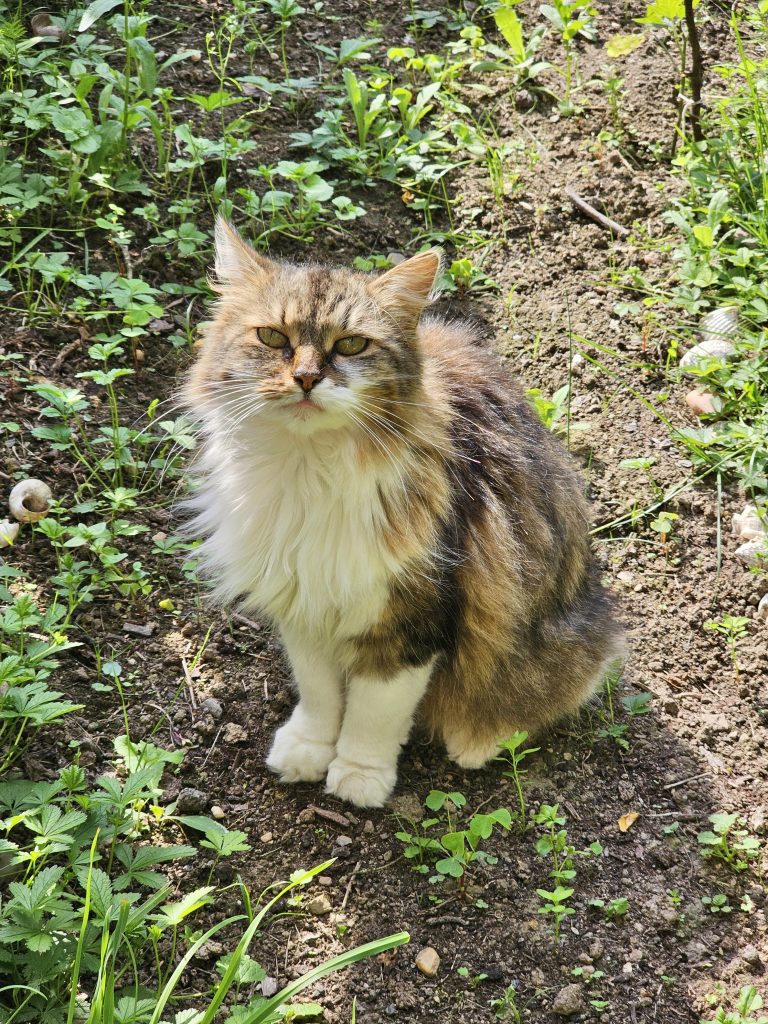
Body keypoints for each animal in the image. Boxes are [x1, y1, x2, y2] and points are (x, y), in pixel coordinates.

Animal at [185, 218, 626, 806]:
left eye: (351, 344)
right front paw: (307, 751)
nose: (306, 378)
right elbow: (320, 694)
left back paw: (478, 741)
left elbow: (373, 713)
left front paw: (358, 779)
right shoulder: (305, 600)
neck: (308, 471)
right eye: (273, 338)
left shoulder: (411, 617)